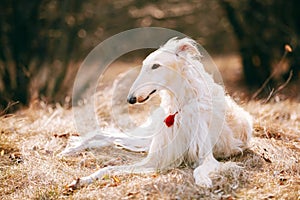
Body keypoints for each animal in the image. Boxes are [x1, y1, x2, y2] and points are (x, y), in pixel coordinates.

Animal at [64, 37, 252, 189]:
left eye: (155, 66)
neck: (180, 106)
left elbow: (199, 169)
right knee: (105, 134)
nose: (130, 99)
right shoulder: (157, 157)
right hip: (148, 135)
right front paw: (84, 179)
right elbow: (108, 168)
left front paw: (203, 181)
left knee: (111, 137)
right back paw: (73, 148)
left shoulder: (206, 156)